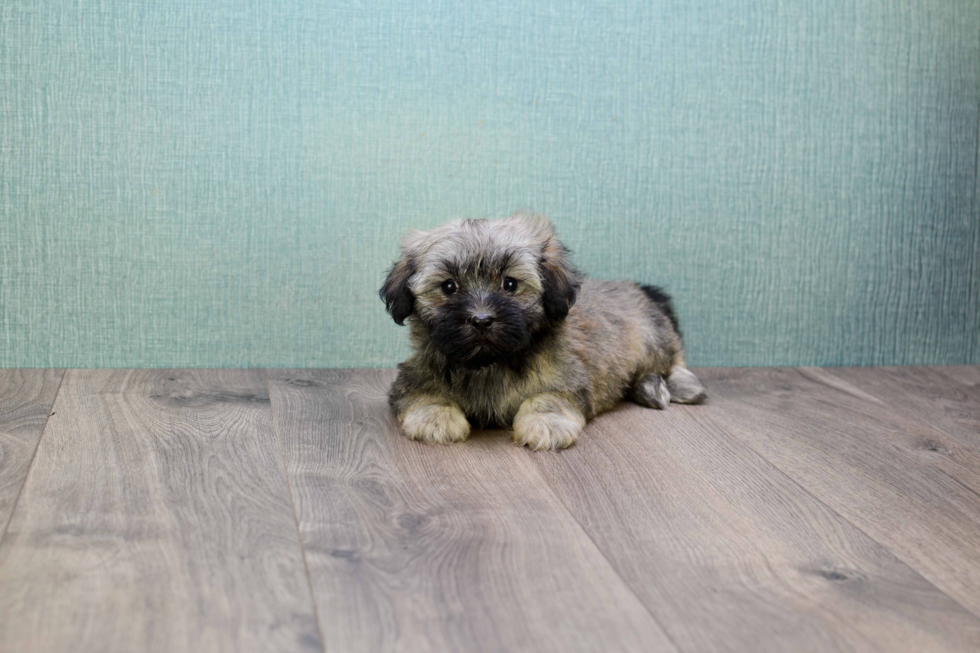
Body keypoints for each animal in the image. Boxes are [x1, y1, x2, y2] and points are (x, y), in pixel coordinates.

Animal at [378, 211, 708, 450]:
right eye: (449, 287)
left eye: (510, 284)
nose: (481, 319)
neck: (489, 364)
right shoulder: (414, 374)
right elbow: (425, 393)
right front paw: (436, 417)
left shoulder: (568, 379)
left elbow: (547, 398)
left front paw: (545, 423)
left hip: (651, 336)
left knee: (673, 360)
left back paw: (676, 386)